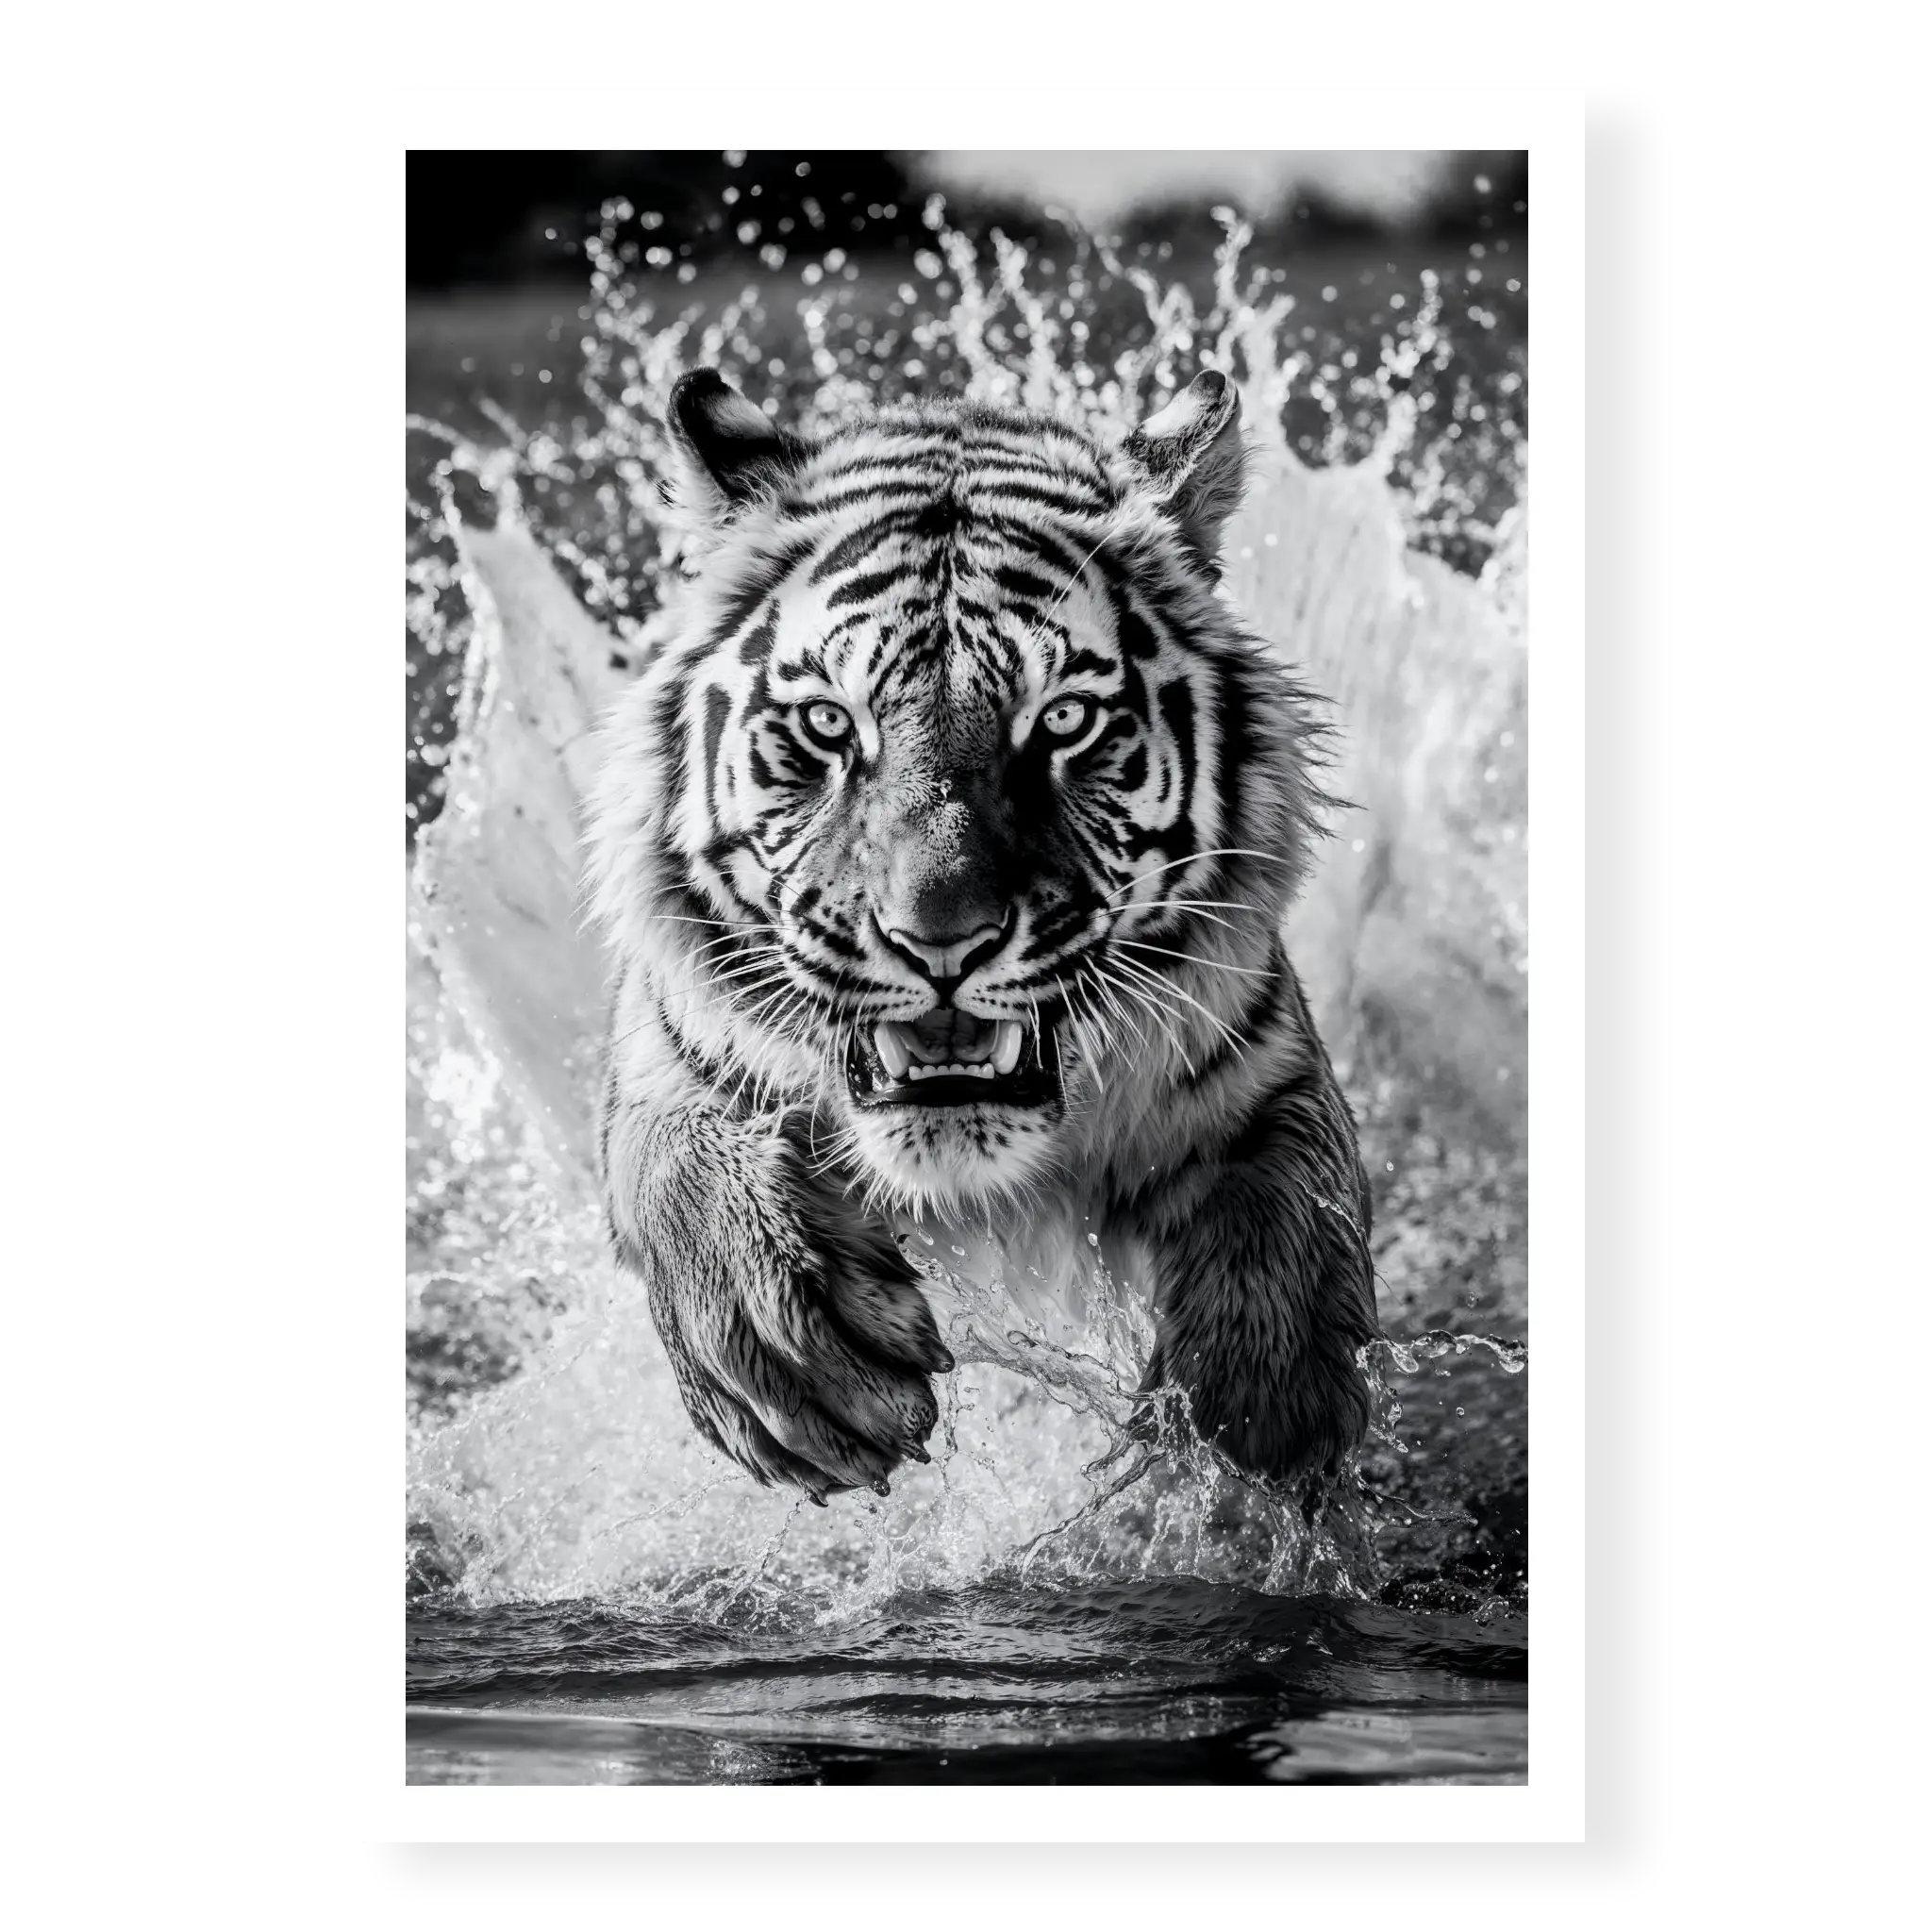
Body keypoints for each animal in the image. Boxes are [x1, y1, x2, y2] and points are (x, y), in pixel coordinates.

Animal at [585, 365, 1378, 1507]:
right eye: (831, 725)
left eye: (1062, 722)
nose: (940, 940)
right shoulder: (669, 1055)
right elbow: (679, 1164)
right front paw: (799, 1358)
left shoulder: (1260, 1062)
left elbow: (1289, 1194)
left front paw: (1257, 1412)